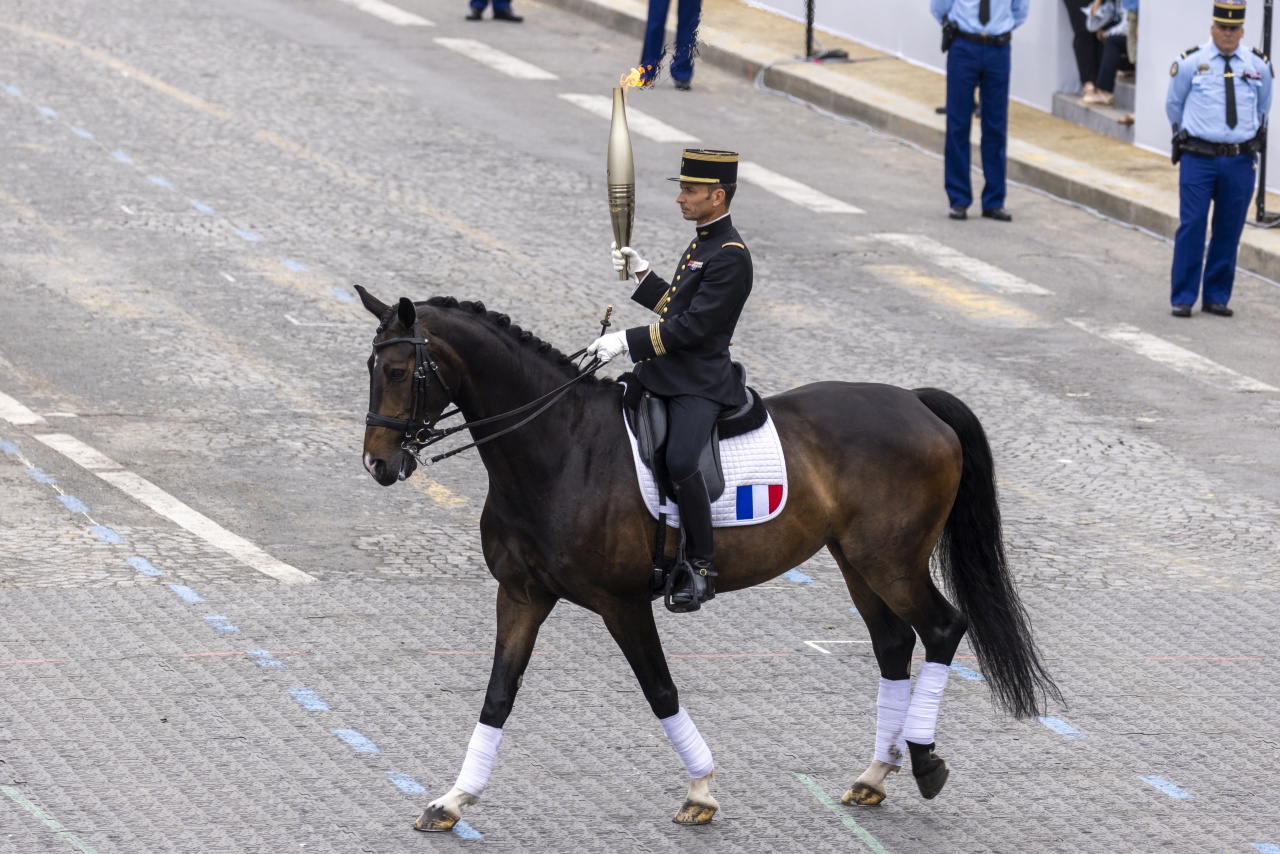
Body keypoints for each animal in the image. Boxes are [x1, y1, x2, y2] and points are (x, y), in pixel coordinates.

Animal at [355, 289, 1064, 834]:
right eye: (369, 366)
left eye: (400, 372)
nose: (379, 464)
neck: (559, 449)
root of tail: (915, 400)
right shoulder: (522, 594)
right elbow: (499, 694)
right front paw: (453, 799)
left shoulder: (621, 602)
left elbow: (660, 688)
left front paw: (701, 791)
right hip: (858, 562)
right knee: (893, 644)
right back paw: (874, 774)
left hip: (890, 560)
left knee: (943, 628)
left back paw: (923, 762)